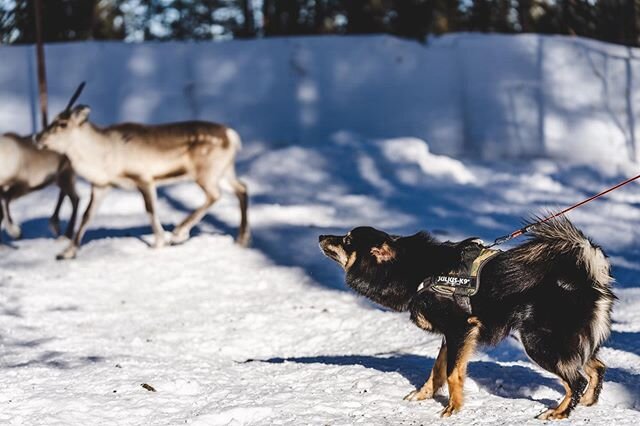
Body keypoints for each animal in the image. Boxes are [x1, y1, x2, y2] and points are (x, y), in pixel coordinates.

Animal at [318, 218, 616, 422]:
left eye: (347, 241)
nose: (321, 235)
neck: (417, 271)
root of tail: (587, 278)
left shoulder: (460, 329)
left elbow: (452, 373)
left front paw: (453, 408)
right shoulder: (451, 336)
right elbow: (438, 371)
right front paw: (424, 396)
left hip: (539, 343)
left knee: (575, 380)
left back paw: (559, 413)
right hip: (567, 344)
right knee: (597, 367)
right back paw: (588, 402)